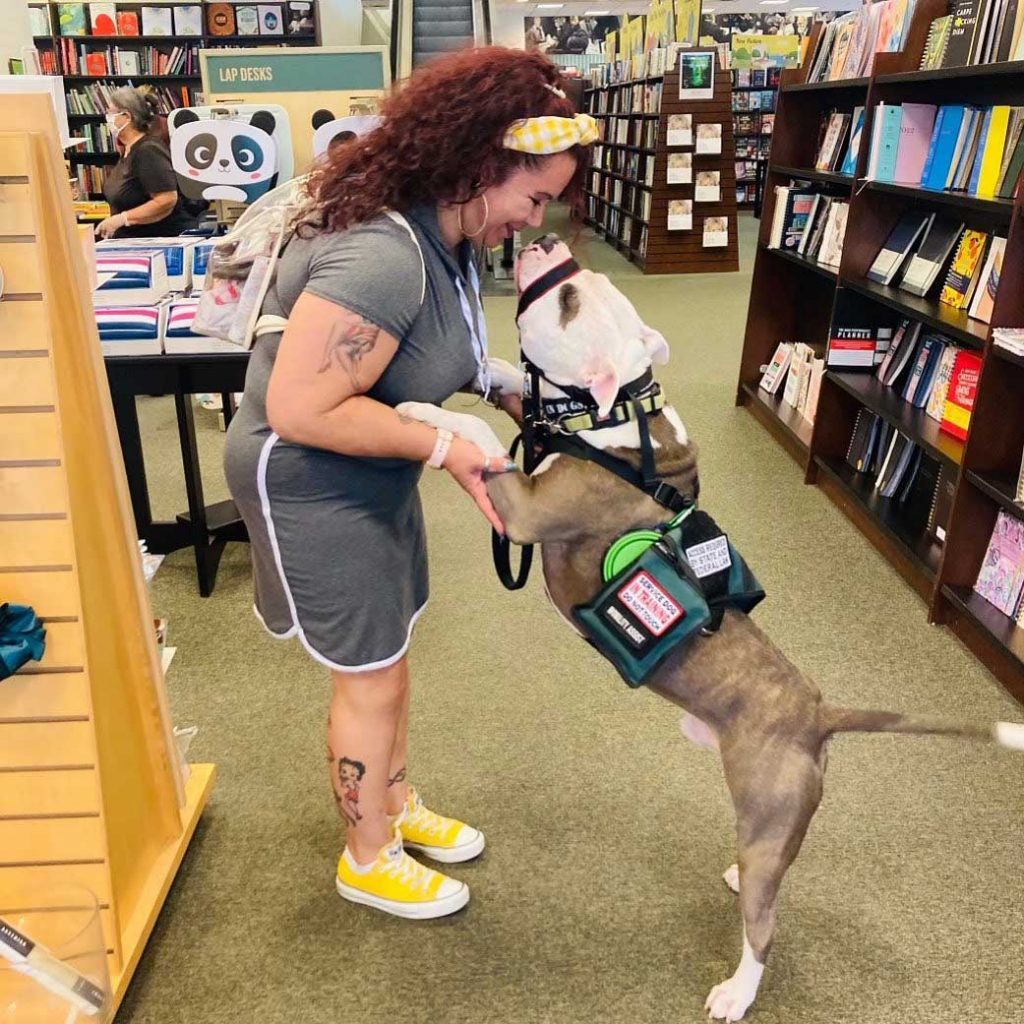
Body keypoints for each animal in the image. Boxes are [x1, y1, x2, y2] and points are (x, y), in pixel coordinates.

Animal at [399, 235, 1024, 1019]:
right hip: (777, 823)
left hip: (766, 811)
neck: (618, 415)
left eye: (569, 301)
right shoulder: (546, 425)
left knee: (765, 924)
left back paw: (737, 990)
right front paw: (488, 374)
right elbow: (515, 391)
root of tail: (818, 714)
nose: (545, 241)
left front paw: (421, 405)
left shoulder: (523, 510)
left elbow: (483, 430)